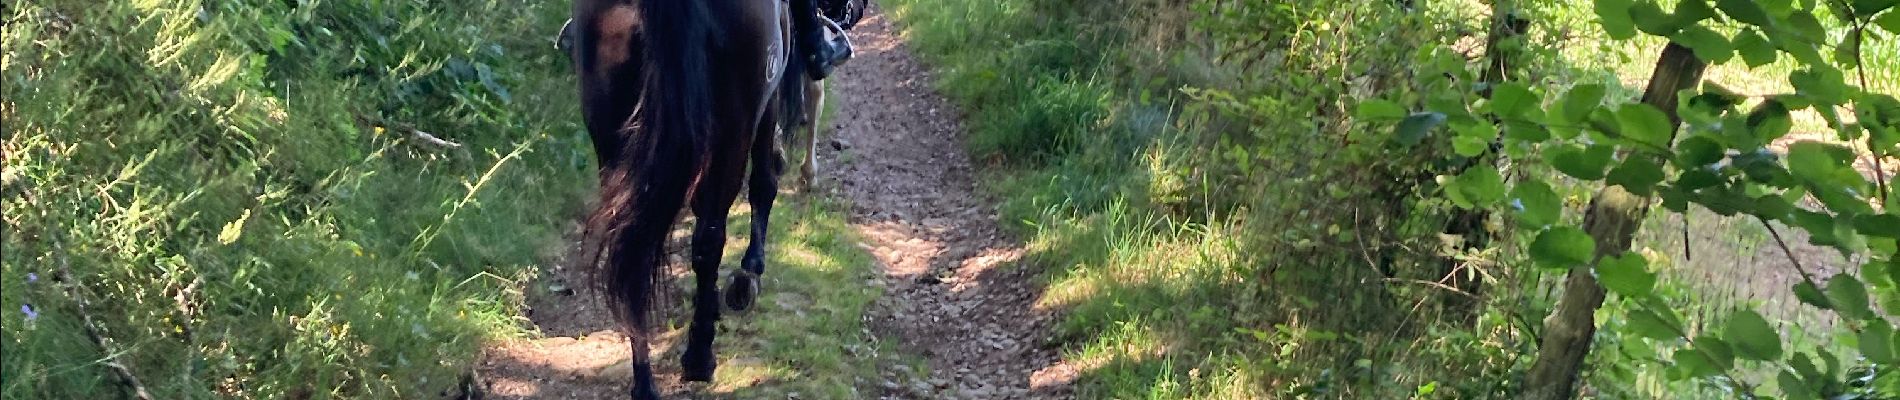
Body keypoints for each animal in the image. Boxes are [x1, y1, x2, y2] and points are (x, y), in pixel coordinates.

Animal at [554, 0, 809, 396]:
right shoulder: (766, 105)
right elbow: (764, 183)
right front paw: (749, 275)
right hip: (733, 130)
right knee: (709, 238)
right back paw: (699, 357)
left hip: (611, 136)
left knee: (631, 249)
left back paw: (644, 382)